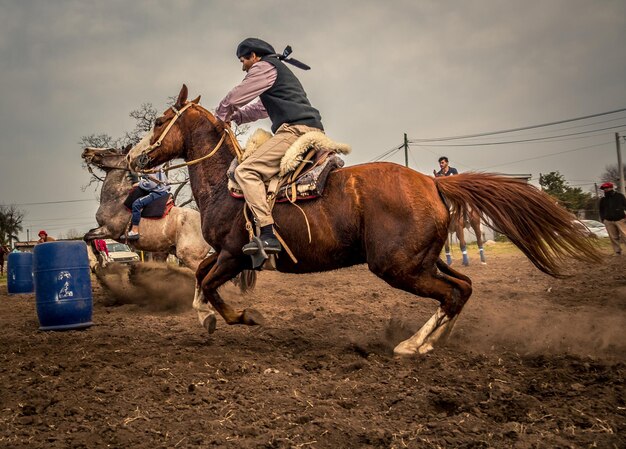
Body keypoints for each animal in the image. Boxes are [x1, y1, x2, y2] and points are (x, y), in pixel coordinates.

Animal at [127, 85, 600, 356]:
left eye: (158, 121)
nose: (134, 158)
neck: (228, 185)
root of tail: (433, 183)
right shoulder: (223, 255)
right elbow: (199, 279)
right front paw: (205, 318)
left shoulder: (234, 255)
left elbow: (208, 282)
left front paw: (239, 317)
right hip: (423, 259)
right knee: (463, 288)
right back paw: (433, 341)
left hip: (397, 266)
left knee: (451, 293)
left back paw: (412, 345)